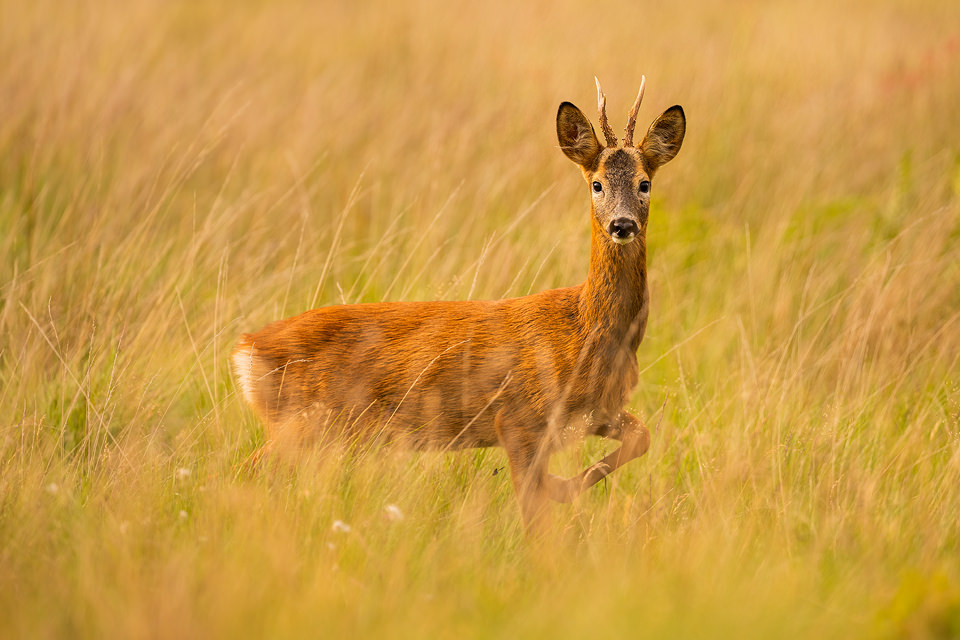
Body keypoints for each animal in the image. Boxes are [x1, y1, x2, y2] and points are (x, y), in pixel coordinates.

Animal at [232, 79, 684, 528]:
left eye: (644, 183)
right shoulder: (519, 417)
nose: (622, 225)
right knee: (249, 468)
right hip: (305, 420)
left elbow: (641, 437)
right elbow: (534, 513)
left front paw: (563, 486)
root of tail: (246, 349)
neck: (586, 328)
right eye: (597, 184)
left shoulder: (596, 411)